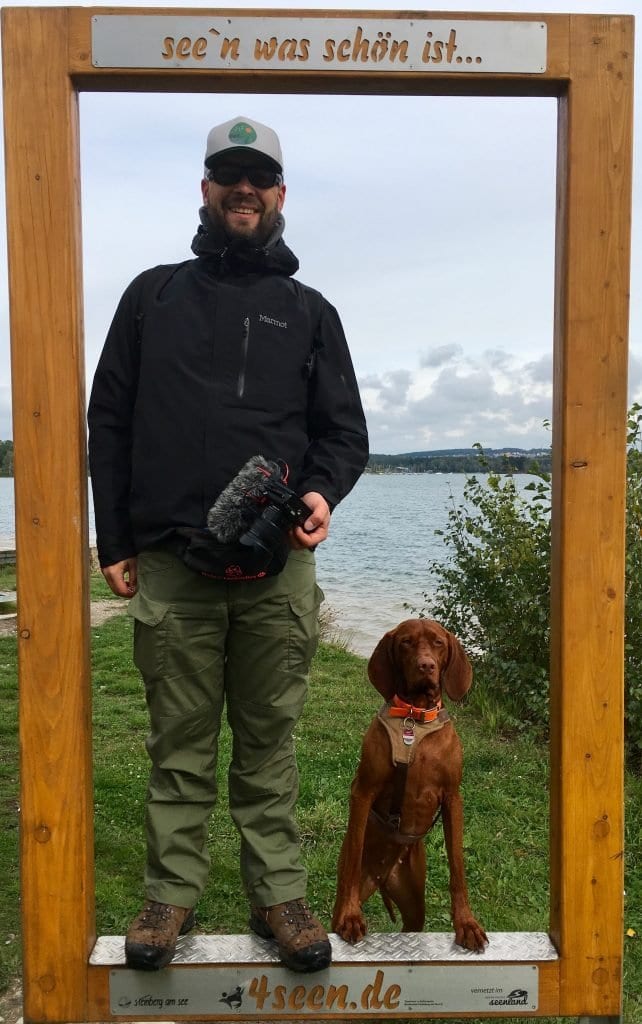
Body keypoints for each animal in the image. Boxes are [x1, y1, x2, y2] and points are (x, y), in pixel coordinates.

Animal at [333, 614, 489, 950]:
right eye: (406, 642)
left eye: (438, 643)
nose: (426, 666)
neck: (414, 718)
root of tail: (384, 877)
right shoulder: (363, 791)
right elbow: (355, 855)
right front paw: (351, 916)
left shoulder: (453, 798)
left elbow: (457, 866)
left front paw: (466, 923)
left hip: (414, 902)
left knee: (411, 929)